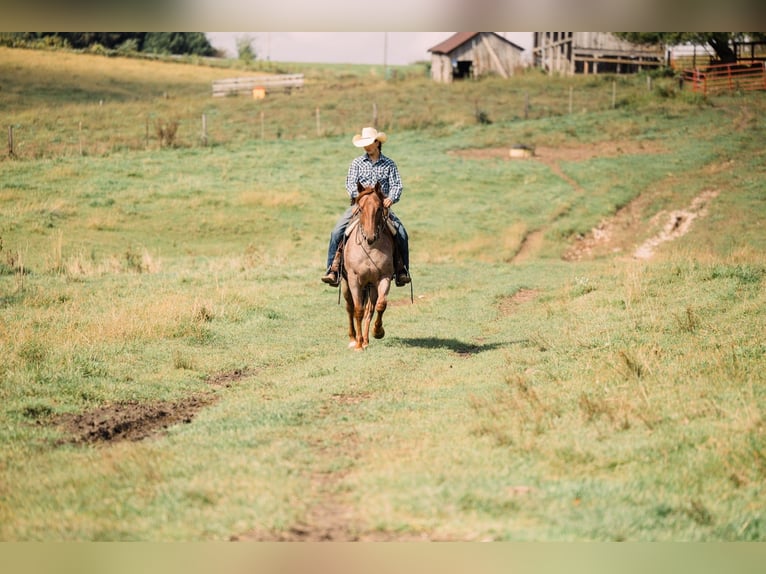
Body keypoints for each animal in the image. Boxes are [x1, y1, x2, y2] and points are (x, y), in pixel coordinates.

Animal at [341, 181, 395, 350]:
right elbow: (357, 310)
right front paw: (358, 345)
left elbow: (380, 306)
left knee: (369, 309)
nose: (370, 237)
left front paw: (378, 332)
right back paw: (354, 339)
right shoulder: (353, 280)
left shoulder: (384, 278)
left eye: (379, 209)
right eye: (360, 208)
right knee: (350, 307)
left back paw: (365, 339)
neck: (369, 248)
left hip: (371, 286)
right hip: (346, 284)